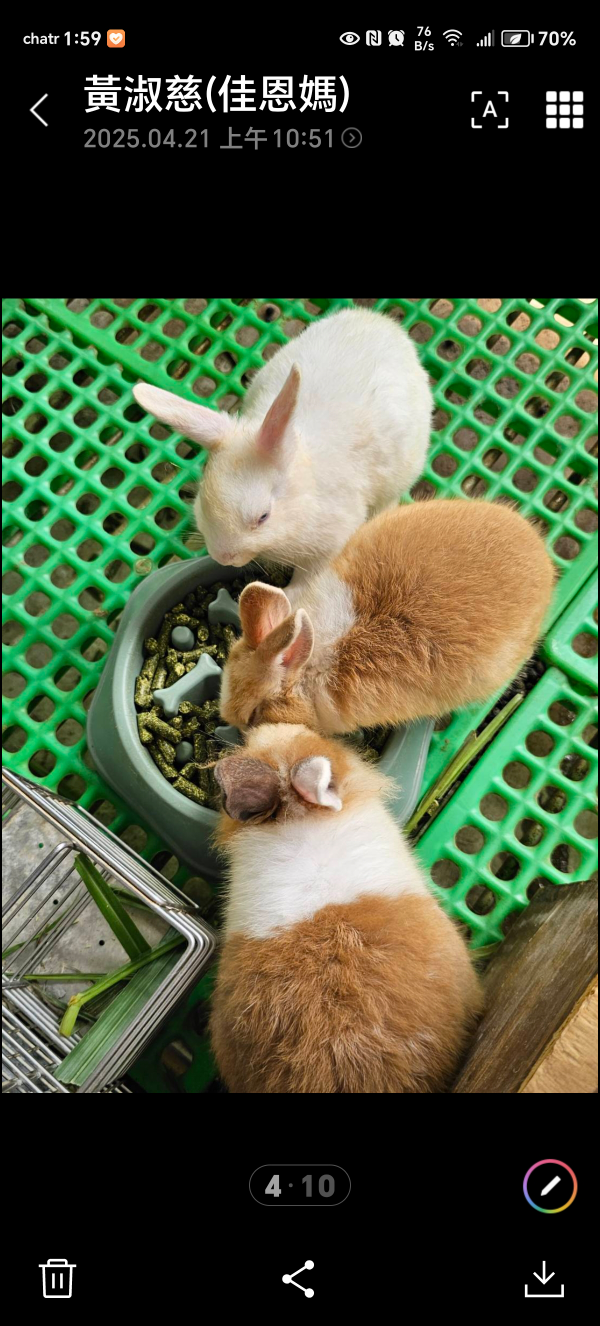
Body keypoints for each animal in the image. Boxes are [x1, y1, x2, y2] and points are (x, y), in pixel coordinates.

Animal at [132, 307, 431, 596]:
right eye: (201, 501)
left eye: (263, 517)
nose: (223, 556)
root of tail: (383, 323)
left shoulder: (332, 543)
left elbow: (310, 578)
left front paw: (290, 594)